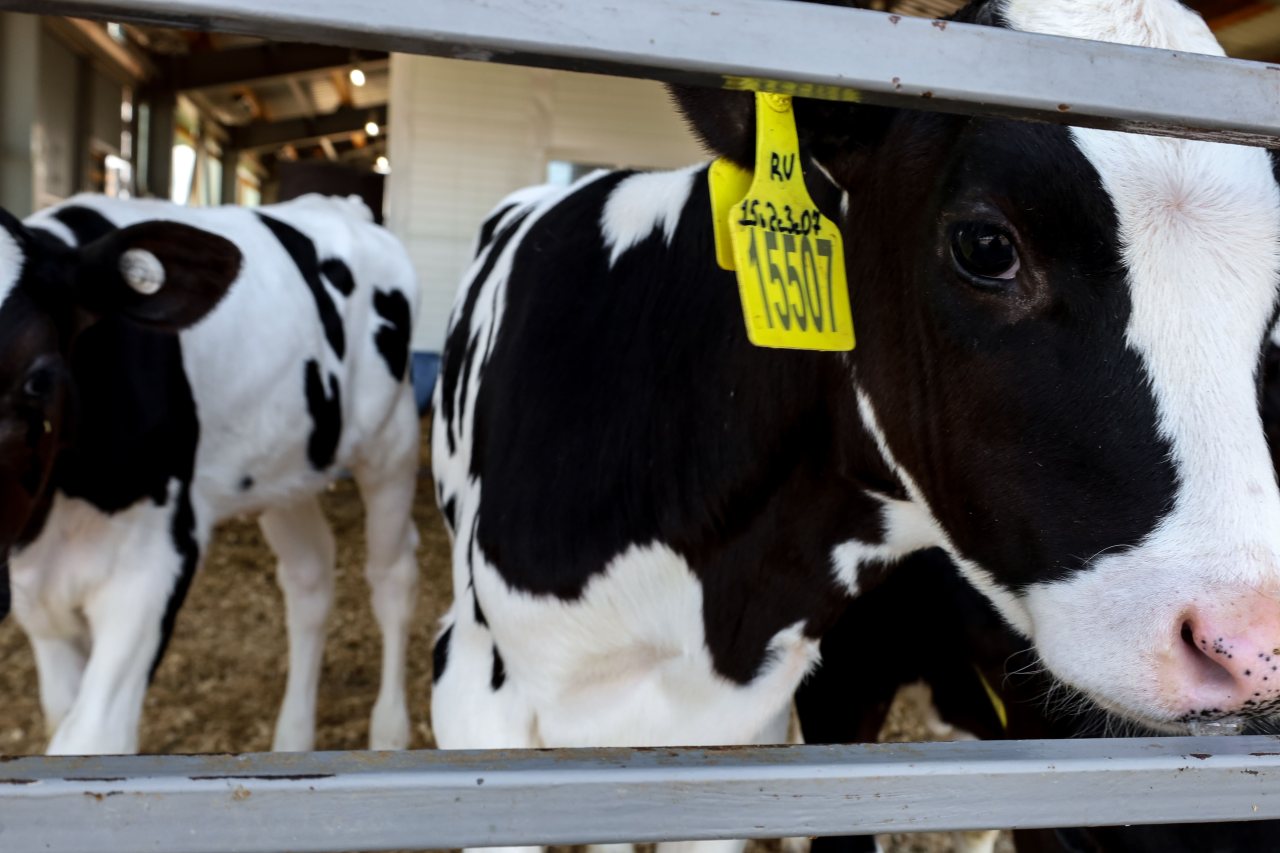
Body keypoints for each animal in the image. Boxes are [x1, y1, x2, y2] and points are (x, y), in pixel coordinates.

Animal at [1, 190, 419, 753]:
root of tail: (343, 205)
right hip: (285, 469)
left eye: (38, 379)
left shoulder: (155, 561)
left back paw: (389, 734)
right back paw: (291, 740)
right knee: (309, 577)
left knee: (391, 575)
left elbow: (90, 737)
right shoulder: (37, 596)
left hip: (391, 442)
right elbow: (58, 718)